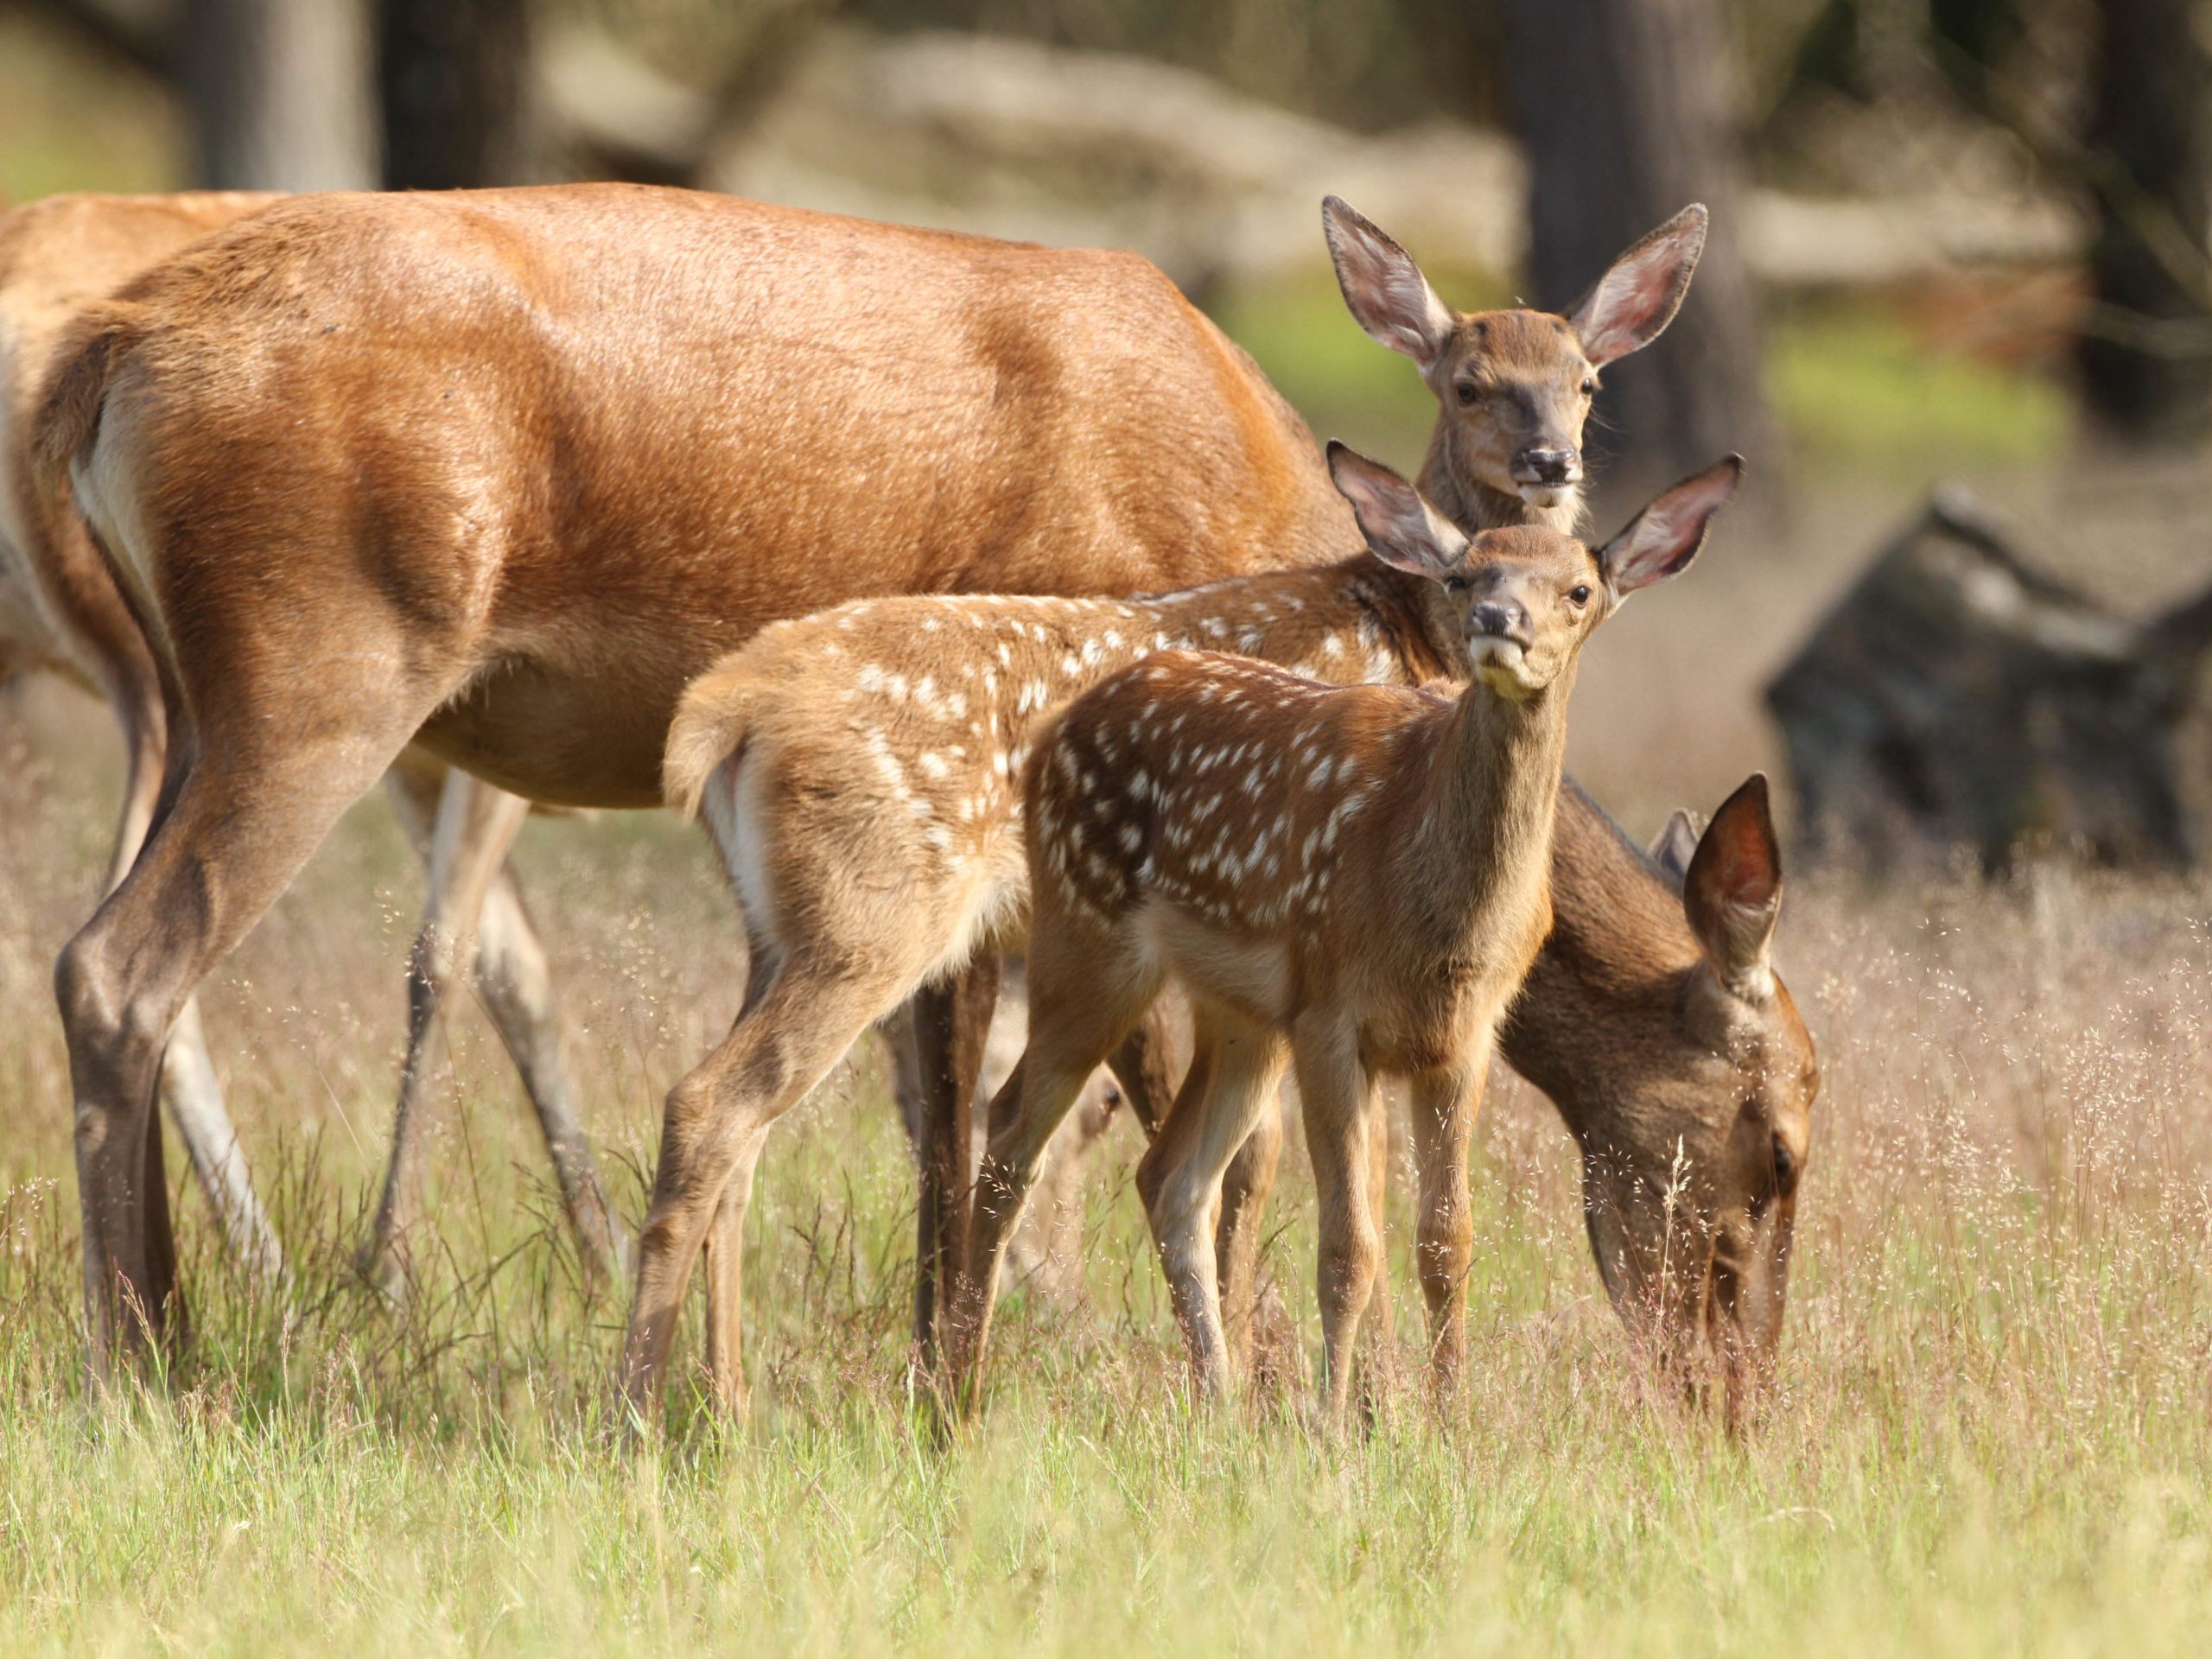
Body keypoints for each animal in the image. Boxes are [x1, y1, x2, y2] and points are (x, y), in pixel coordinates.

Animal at [950, 444, 1743, 1433]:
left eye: (1578, 590)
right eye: (1463, 573)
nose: (1497, 621)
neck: (1438, 913)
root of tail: (1058, 729)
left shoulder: (1463, 1039)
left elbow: (1446, 1241)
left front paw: (1449, 1421)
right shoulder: (1333, 1014)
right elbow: (1348, 1247)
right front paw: (1334, 1425)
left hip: (1240, 1015)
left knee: (1170, 1176)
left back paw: (1219, 1407)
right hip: (1088, 939)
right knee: (1011, 1132)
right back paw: (956, 1398)